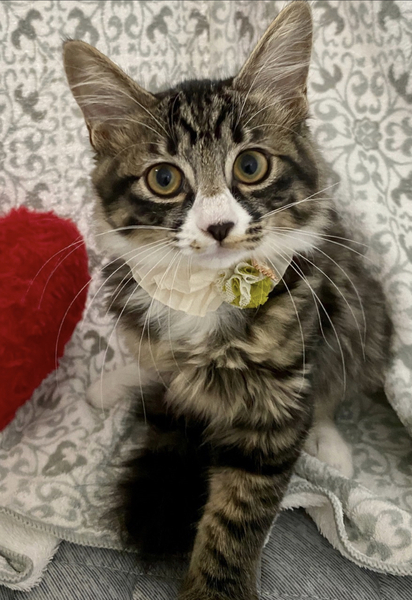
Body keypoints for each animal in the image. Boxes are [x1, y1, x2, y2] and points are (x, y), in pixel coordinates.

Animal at [63, 2, 392, 599]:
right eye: (164, 178)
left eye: (250, 166)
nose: (218, 227)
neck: (205, 295)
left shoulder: (278, 399)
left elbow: (238, 517)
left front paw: (218, 586)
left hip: (363, 314)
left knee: (334, 379)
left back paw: (331, 443)